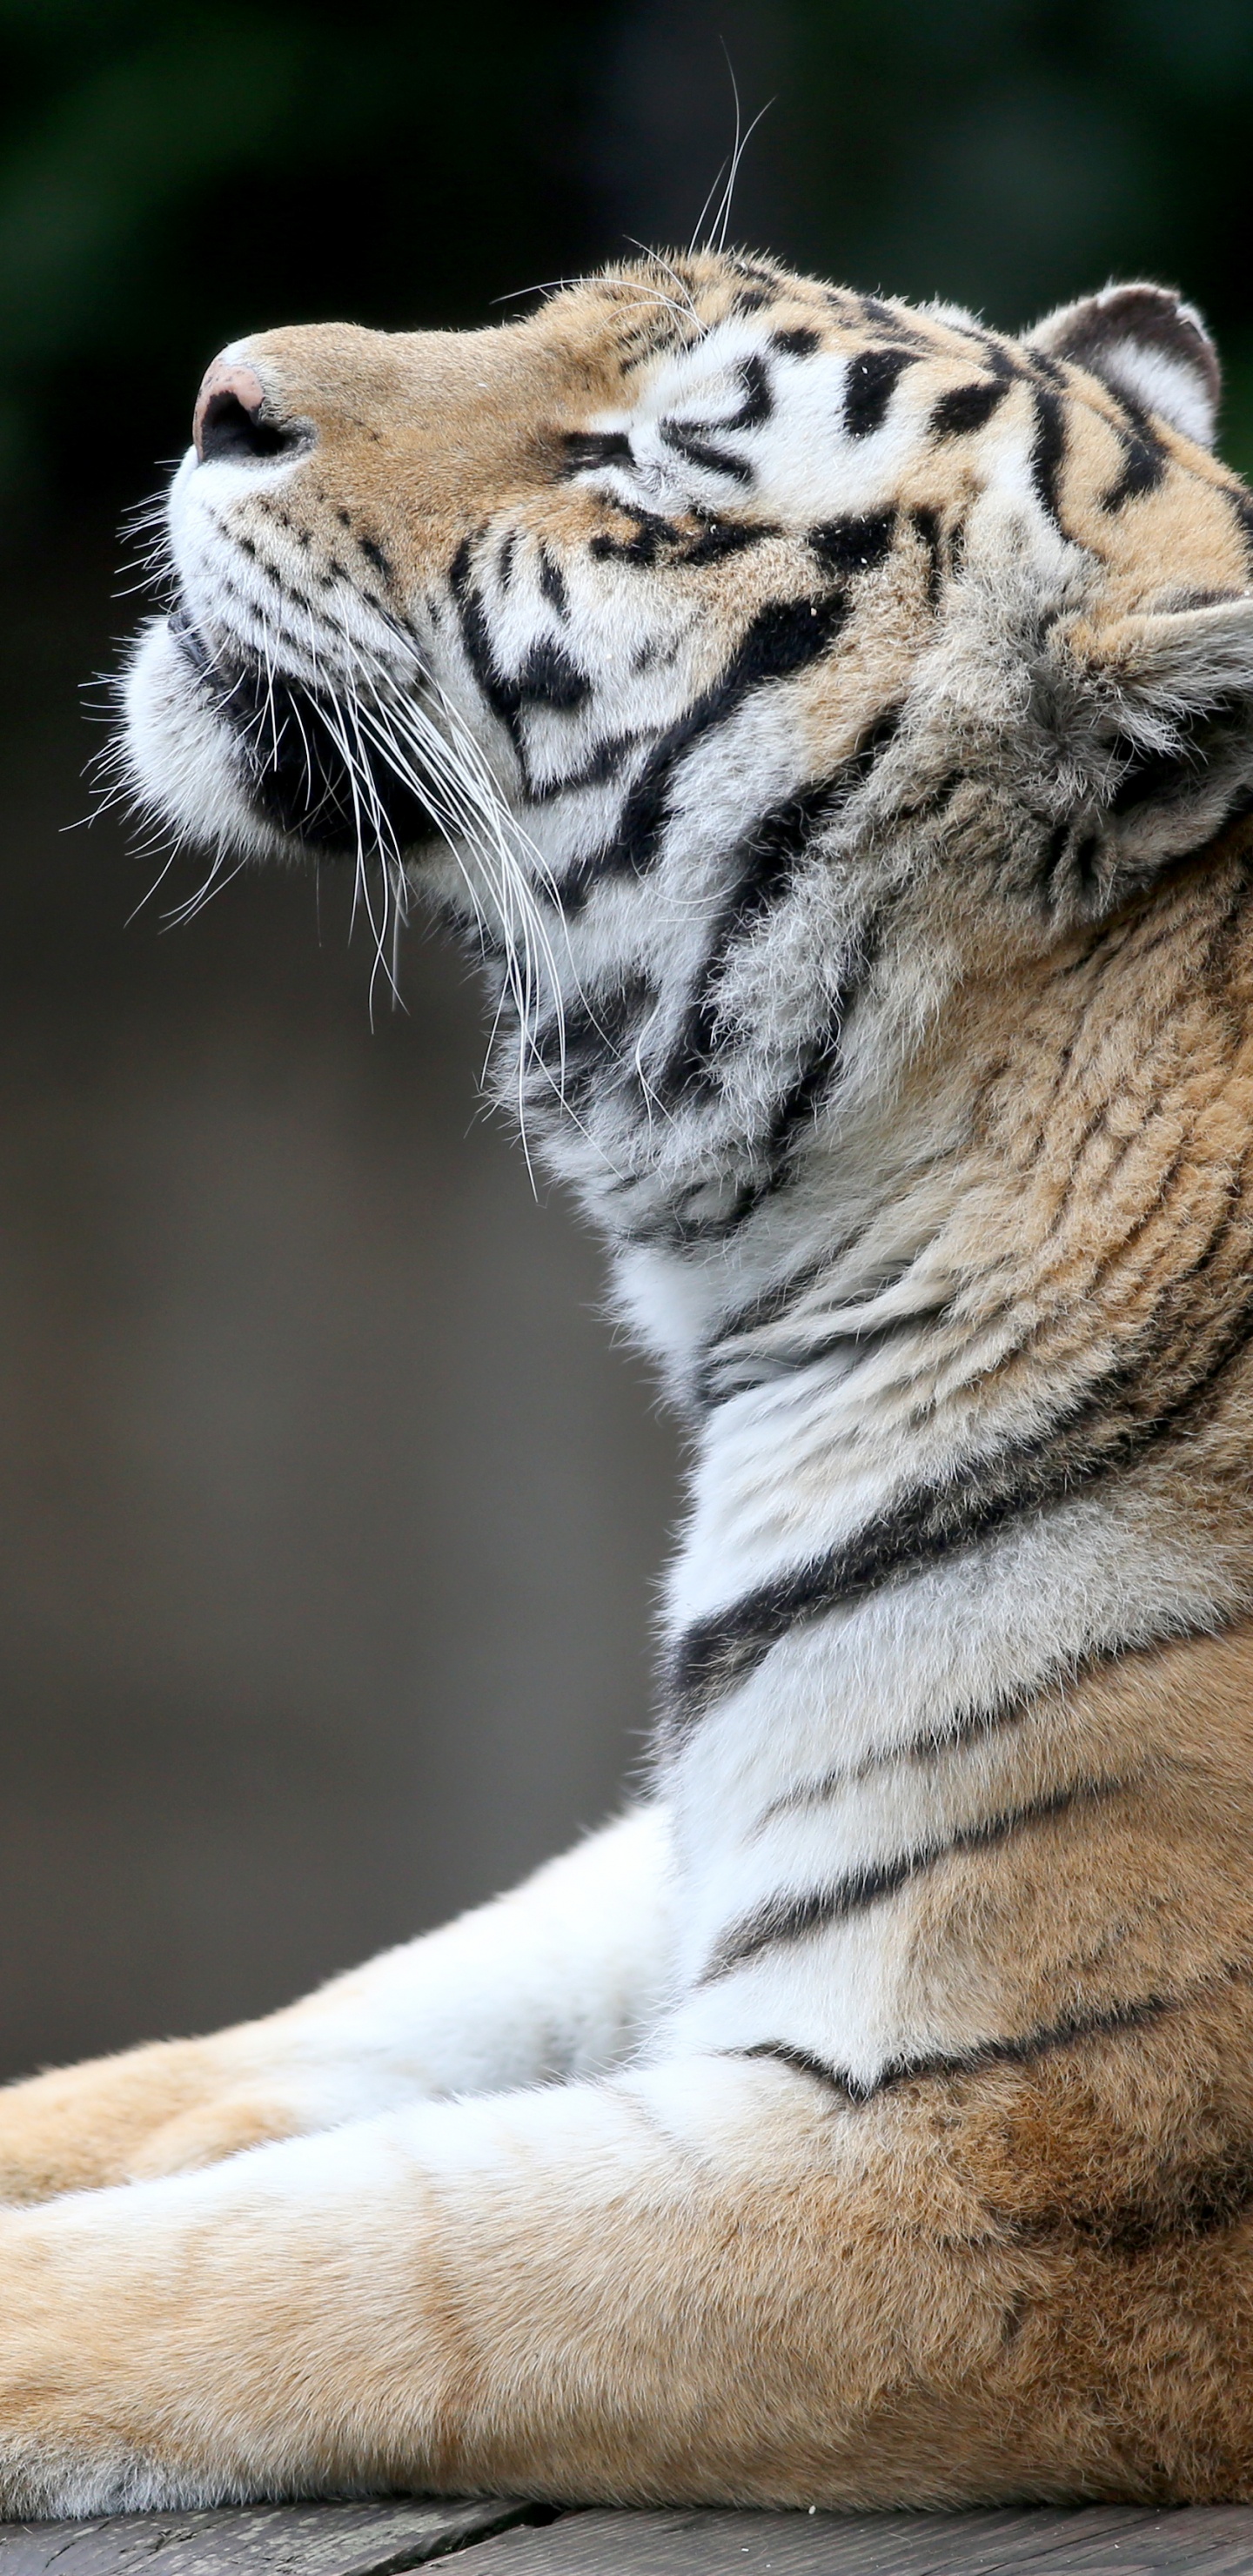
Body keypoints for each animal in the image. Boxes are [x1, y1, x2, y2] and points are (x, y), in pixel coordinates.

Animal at [2, 247, 1253, 2516]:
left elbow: (362, 2254)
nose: (220, 394)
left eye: (651, 472)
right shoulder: (703, 1841)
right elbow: (294, 2042)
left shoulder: (1009, 2159)